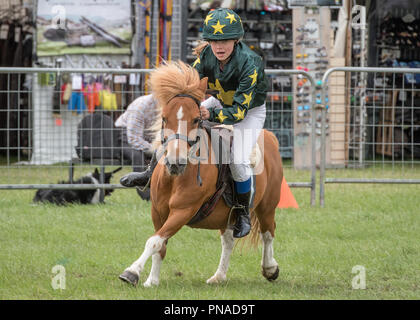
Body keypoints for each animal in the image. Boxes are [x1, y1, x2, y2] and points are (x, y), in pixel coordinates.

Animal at [118, 60, 284, 288]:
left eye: (197, 119)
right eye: (164, 118)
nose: (175, 162)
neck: (176, 178)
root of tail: (270, 137)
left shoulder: (183, 211)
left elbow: (154, 241)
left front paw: (132, 272)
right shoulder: (158, 211)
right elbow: (160, 243)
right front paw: (152, 280)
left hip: (267, 206)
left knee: (268, 233)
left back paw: (270, 268)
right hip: (228, 215)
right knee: (228, 240)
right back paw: (219, 276)